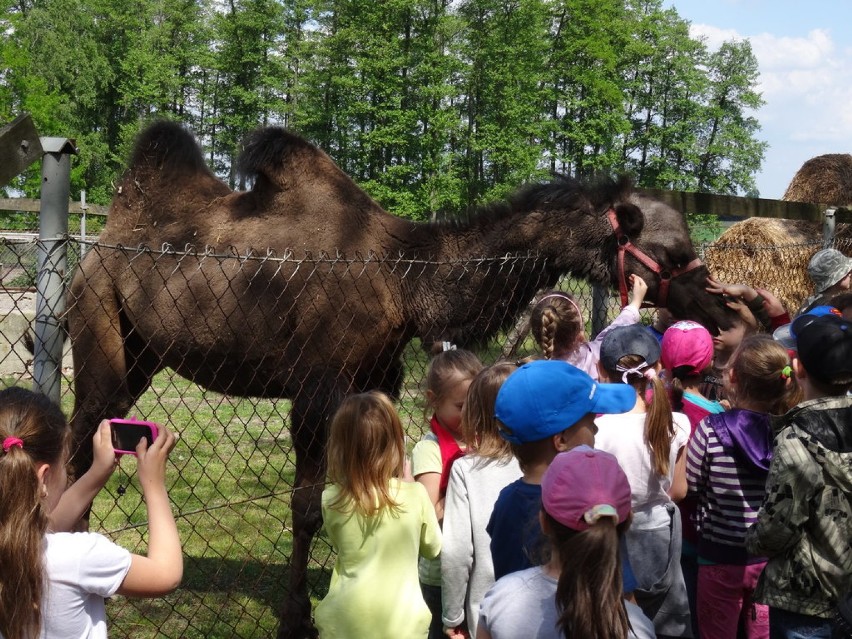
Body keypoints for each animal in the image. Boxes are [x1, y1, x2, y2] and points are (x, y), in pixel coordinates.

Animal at [65, 121, 732, 639]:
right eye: (674, 254)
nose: (723, 309)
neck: (403, 280)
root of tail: (103, 237)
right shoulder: (315, 385)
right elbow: (306, 507)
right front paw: (297, 617)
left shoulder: (376, 375)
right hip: (98, 315)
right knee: (80, 438)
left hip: (141, 350)